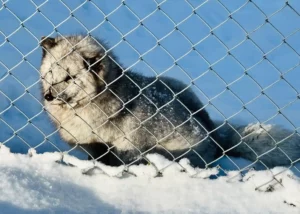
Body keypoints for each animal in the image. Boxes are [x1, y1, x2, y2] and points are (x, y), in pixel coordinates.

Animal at [39, 35, 300, 168]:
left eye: (70, 77)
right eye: (52, 71)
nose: (48, 96)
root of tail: (216, 137)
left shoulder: (126, 149)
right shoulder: (93, 147)